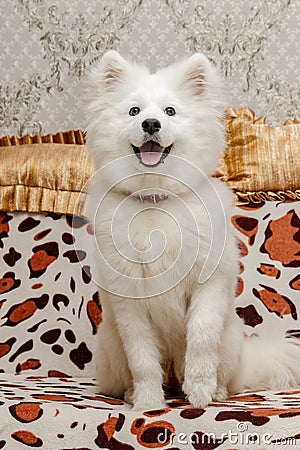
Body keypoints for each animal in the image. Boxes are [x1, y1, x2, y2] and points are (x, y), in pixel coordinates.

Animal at [84, 51, 300, 410]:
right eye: (134, 111)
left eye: (170, 111)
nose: (151, 124)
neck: (157, 198)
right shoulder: (131, 305)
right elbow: (142, 360)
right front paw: (148, 402)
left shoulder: (207, 286)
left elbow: (200, 338)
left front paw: (200, 393)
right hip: (110, 346)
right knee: (133, 373)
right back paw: (133, 393)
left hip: (230, 340)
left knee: (220, 372)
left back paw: (215, 391)